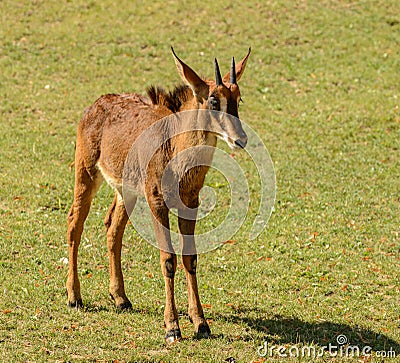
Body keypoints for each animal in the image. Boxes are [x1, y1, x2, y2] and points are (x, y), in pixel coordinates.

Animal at [67, 47, 252, 342]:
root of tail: (98, 103)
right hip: (86, 171)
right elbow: (168, 259)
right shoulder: (157, 203)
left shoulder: (190, 204)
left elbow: (190, 257)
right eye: (214, 100)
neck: (175, 147)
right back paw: (74, 297)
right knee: (75, 221)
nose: (240, 139)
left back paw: (120, 298)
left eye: (238, 98)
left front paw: (201, 323)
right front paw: (172, 327)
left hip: (127, 191)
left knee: (112, 228)